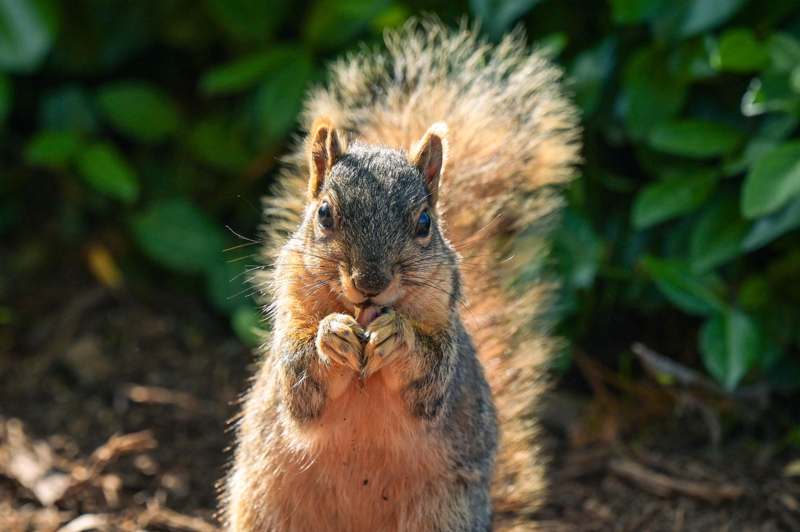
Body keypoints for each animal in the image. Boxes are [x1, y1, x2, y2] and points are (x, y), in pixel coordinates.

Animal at [223, 19, 580, 532]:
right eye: (324, 213)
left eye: (424, 223)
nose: (370, 284)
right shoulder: (290, 323)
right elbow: (300, 389)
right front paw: (330, 335)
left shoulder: (443, 341)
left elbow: (430, 379)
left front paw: (400, 337)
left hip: (443, 513)